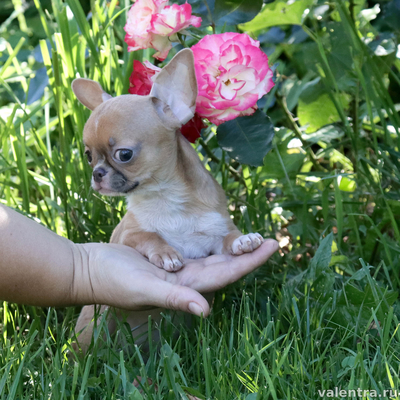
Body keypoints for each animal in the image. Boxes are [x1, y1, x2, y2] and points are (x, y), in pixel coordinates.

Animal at [72, 49, 264, 354]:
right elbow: (150, 236)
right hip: (94, 321)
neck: (165, 197)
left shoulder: (215, 231)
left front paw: (243, 241)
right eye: (89, 156)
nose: (97, 173)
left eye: (124, 154)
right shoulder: (128, 236)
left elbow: (228, 238)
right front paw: (166, 254)